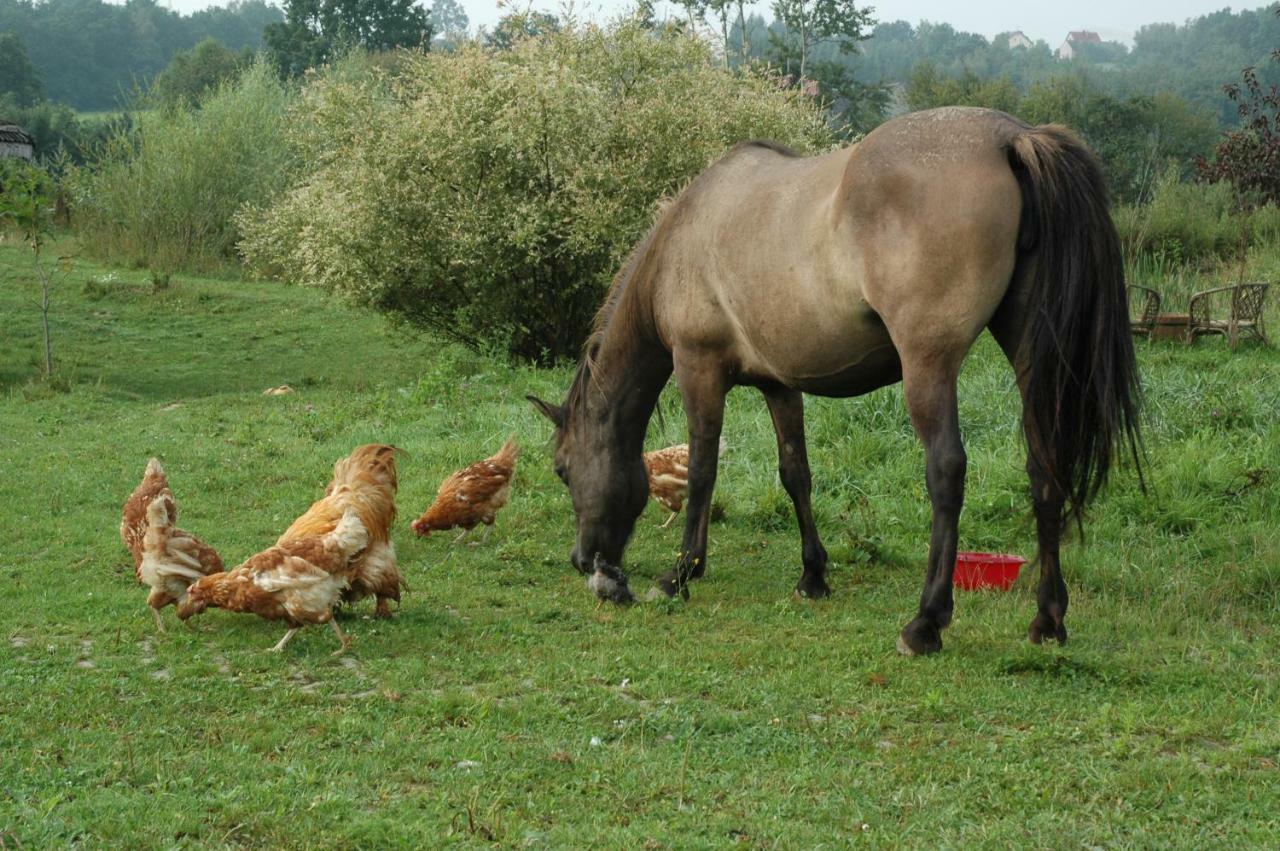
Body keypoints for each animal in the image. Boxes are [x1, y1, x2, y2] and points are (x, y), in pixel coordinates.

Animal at [527, 104, 1141, 650]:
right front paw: (813, 575)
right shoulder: (780, 383)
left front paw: (680, 575)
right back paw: (1048, 620)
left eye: (562, 470)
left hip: (929, 365)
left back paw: (926, 623)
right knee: (1044, 469)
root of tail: (1011, 137)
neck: (686, 237)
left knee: (946, 472)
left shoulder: (698, 367)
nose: (583, 560)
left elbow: (703, 471)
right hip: (1031, 357)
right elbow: (795, 473)